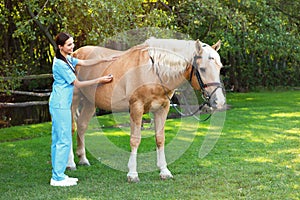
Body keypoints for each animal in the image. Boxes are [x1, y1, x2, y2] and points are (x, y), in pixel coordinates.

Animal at [67, 36, 224, 182]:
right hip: (73, 101)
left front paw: (164, 171)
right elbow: (135, 140)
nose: (219, 101)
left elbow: (160, 139)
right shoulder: (136, 107)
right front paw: (132, 174)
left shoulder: (162, 109)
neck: (153, 71)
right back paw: (71, 163)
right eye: (202, 69)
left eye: (220, 67)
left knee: (82, 125)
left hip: (89, 103)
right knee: (71, 128)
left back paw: (83, 159)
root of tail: (74, 54)